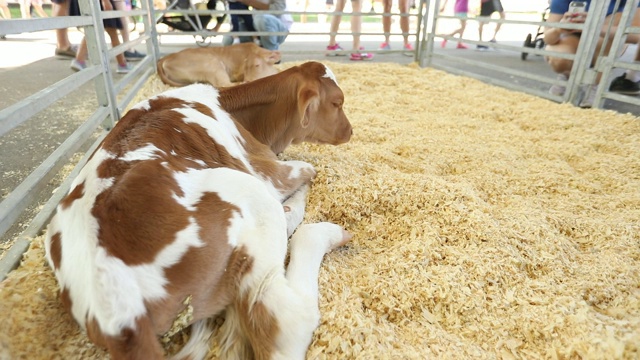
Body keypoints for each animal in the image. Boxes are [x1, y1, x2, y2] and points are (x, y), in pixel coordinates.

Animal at [43, 60, 356, 358]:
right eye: (337, 102)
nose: (350, 131)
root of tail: (118, 311)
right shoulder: (267, 171)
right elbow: (309, 170)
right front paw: (295, 204)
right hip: (248, 192)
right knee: (288, 316)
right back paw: (322, 232)